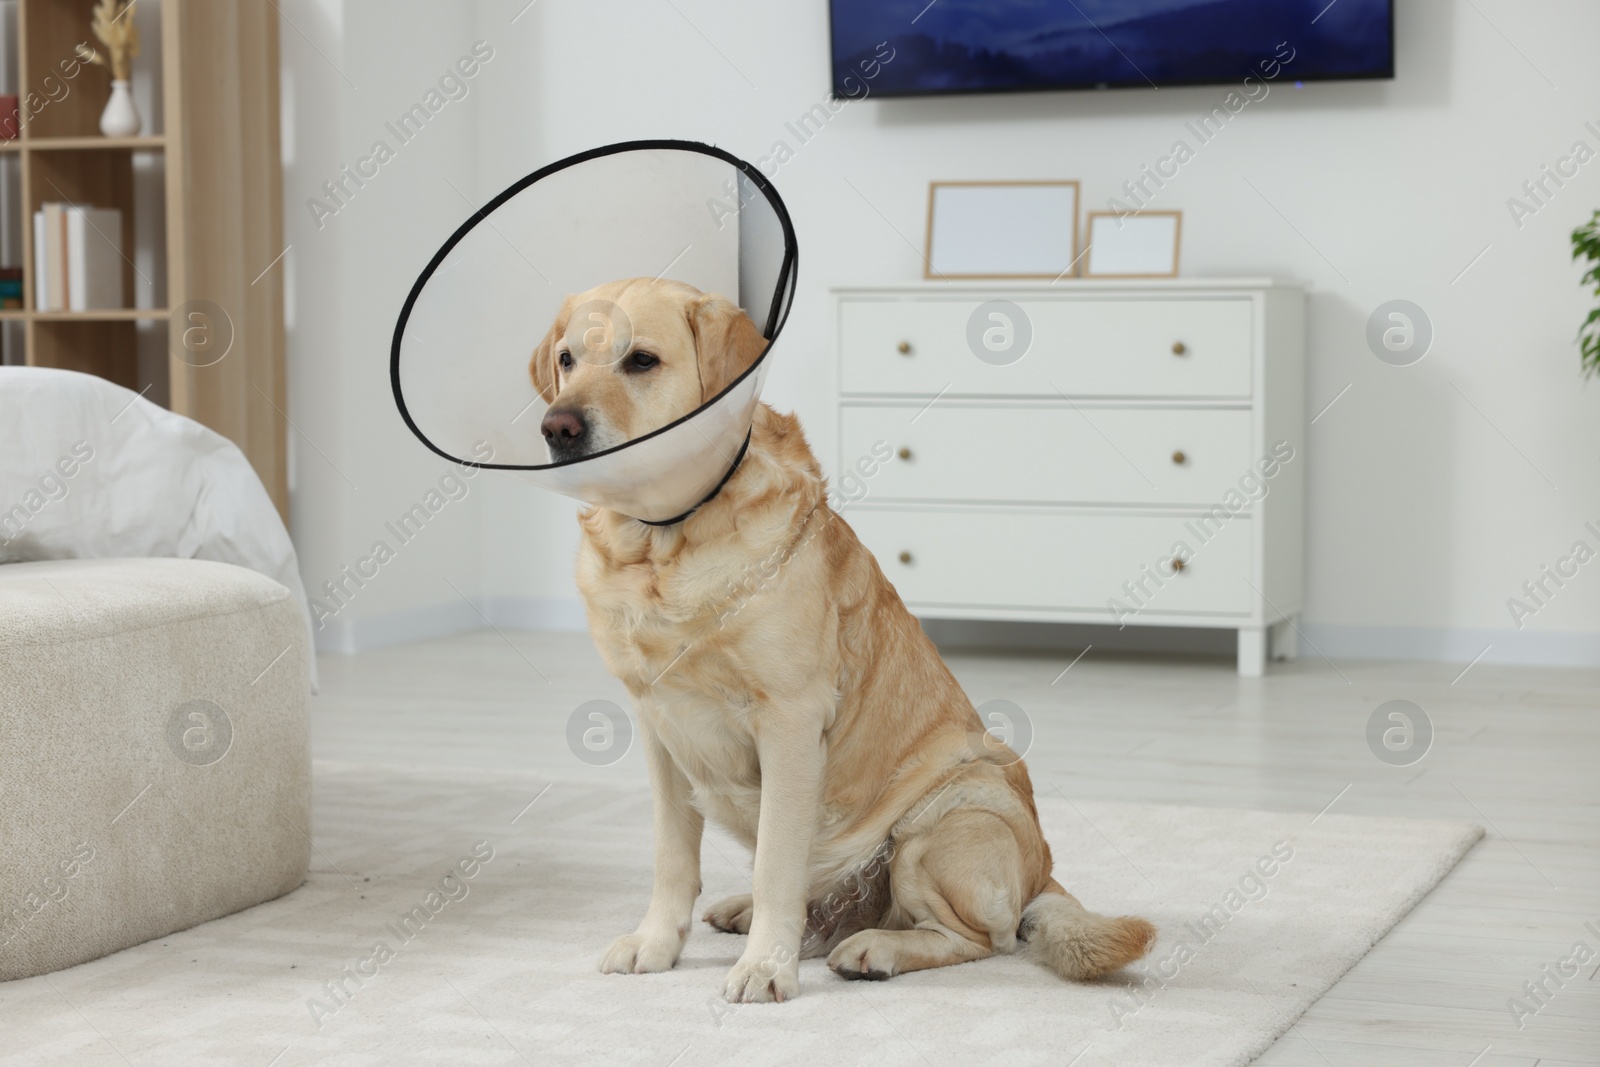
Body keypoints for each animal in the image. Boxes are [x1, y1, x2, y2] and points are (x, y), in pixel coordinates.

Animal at [534, 279, 1152, 1004]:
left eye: (641, 361)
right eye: (568, 359)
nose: (557, 429)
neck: (668, 543)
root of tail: (1043, 873)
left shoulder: (790, 721)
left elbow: (777, 859)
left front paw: (765, 967)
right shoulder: (660, 728)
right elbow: (671, 856)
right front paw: (656, 943)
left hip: (947, 816)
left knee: (978, 939)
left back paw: (872, 946)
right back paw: (752, 912)